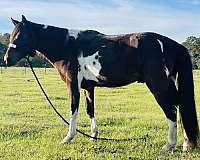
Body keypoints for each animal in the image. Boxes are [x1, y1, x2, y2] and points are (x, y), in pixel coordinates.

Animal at [4, 15, 198, 151]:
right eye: (13, 35)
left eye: (22, 36)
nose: (6, 59)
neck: (68, 46)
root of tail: (171, 43)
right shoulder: (88, 87)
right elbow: (90, 110)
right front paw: (93, 136)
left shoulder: (73, 85)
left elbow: (73, 110)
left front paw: (68, 138)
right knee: (179, 106)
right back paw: (186, 143)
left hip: (158, 86)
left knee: (171, 110)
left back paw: (169, 145)